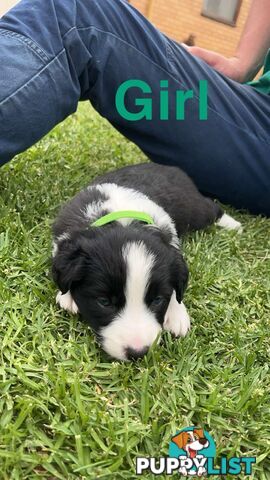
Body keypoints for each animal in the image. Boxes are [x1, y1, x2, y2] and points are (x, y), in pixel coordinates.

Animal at [51, 162, 242, 360]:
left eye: (157, 300)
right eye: (104, 302)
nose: (138, 353)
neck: (121, 218)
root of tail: (168, 167)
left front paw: (177, 314)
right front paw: (67, 296)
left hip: (193, 209)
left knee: (211, 207)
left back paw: (234, 225)